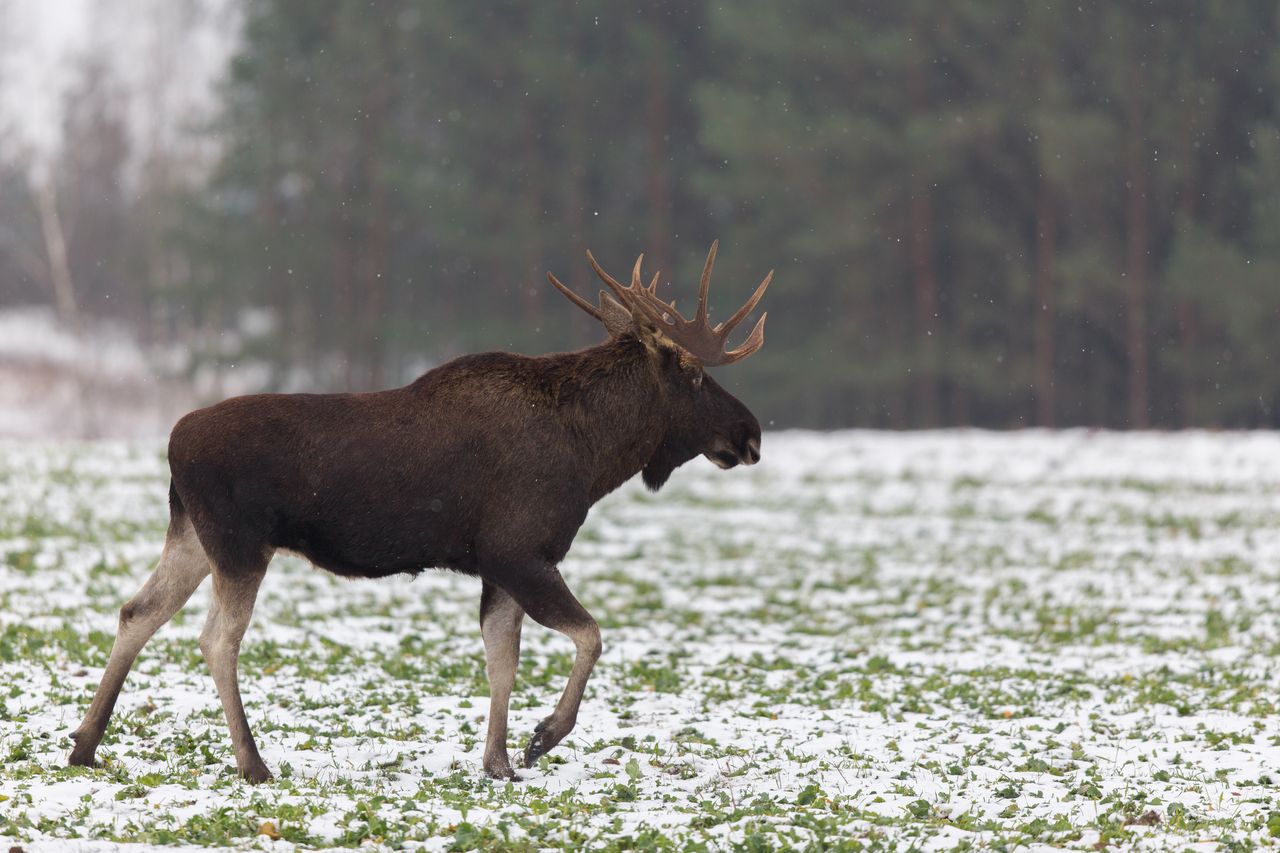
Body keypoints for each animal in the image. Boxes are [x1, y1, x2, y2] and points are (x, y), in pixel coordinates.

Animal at [67, 242, 768, 778]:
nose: (750, 433)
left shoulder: (498, 566)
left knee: (137, 611)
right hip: (239, 544)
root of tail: (172, 442)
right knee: (216, 639)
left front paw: (498, 762)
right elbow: (590, 636)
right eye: (694, 374)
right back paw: (253, 763)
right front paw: (543, 737)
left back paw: (85, 744)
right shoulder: (520, 550)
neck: (593, 455)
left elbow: (501, 662)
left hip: (191, 534)